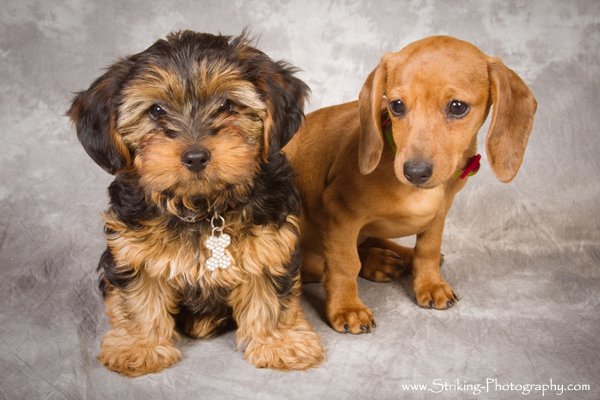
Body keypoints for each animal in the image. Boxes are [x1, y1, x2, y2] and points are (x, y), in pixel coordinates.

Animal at [68, 30, 324, 376]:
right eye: (156, 111)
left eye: (228, 105)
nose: (195, 156)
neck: (202, 207)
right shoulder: (132, 249)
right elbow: (138, 299)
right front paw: (139, 347)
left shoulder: (270, 242)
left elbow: (271, 295)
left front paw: (279, 342)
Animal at [284, 35, 536, 334]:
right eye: (396, 105)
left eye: (458, 107)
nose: (415, 172)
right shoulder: (339, 210)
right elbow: (344, 264)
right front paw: (346, 308)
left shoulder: (440, 213)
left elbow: (428, 249)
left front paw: (429, 282)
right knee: (327, 261)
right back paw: (378, 261)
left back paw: (396, 257)